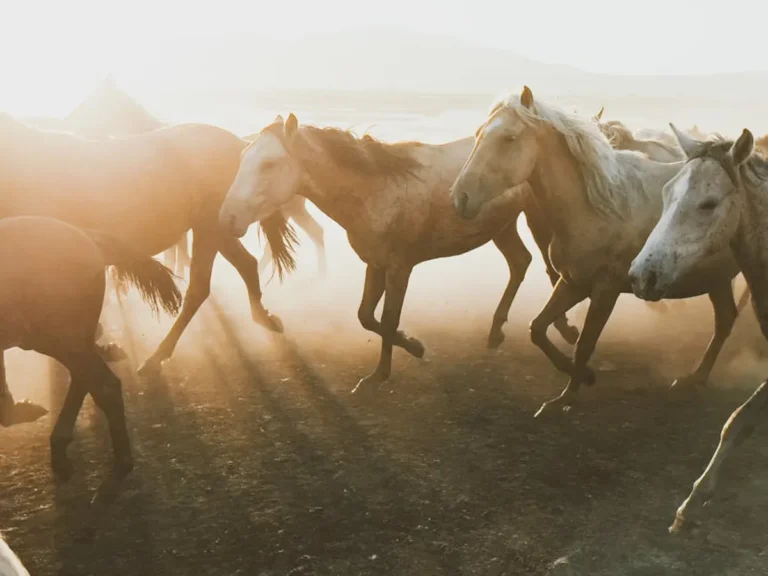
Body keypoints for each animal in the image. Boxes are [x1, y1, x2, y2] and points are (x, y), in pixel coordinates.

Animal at [0, 113, 295, 375]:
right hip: (221, 228)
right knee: (247, 264)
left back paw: (156, 357)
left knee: (199, 289)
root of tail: (237, 144)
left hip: (209, 229)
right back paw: (265, 319)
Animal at [0, 216, 183, 481]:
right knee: (86, 379)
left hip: (57, 337)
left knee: (103, 385)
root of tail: (89, 237)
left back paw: (119, 461)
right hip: (66, 339)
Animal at [219, 114, 581, 391]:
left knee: (552, 269)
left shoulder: (399, 268)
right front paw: (413, 346)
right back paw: (495, 332)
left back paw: (565, 329)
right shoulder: (375, 264)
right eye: (243, 157)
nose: (227, 218)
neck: (375, 190)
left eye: (269, 164)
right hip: (501, 227)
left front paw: (380, 374)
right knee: (520, 263)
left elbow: (389, 317)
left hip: (538, 220)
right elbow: (366, 316)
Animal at [450, 86, 742, 417]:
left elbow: (585, 343)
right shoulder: (573, 282)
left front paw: (568, 395)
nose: (461, 197)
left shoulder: (606, 289)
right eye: (478, 134)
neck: (598, 206)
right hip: (718, 278)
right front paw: (578, 380)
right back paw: (696, 378)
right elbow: (537, 328)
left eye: (509, 138)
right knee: (725, 320)